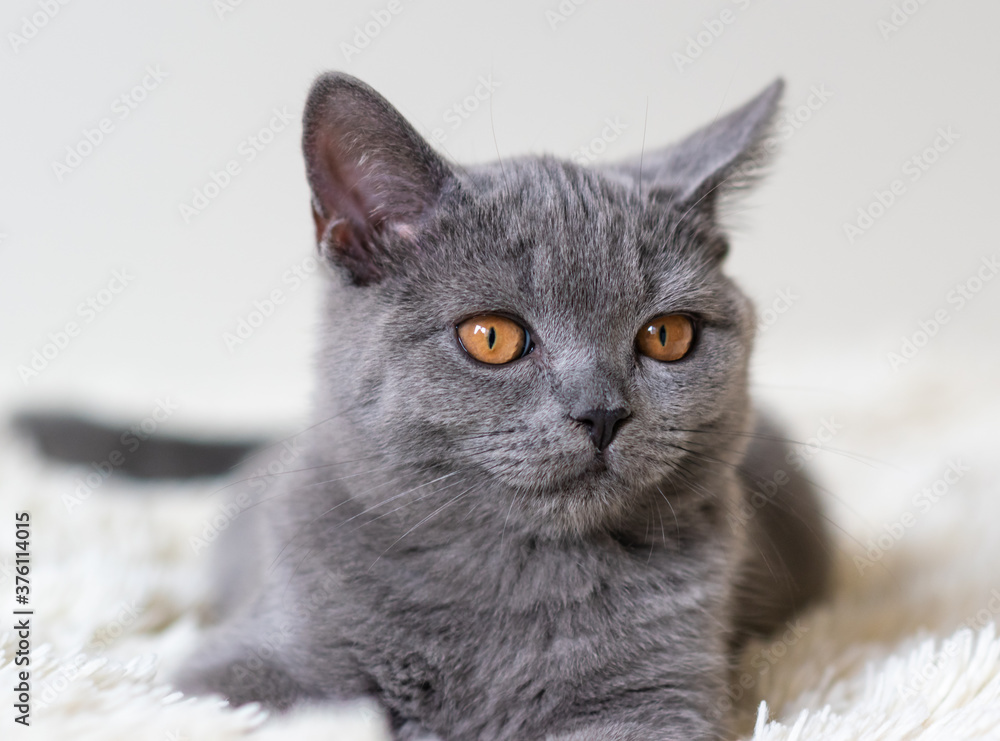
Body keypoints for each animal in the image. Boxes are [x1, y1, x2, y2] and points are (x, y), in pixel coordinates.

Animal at [176, 71, 832, 740]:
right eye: (491, 337)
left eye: (667, 335)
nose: (602, 413)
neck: (516, 571)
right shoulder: (243, 667)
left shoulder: (657, 698)